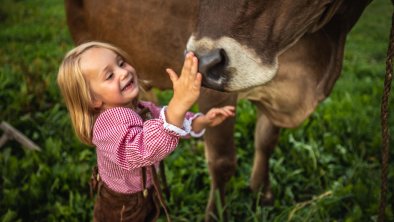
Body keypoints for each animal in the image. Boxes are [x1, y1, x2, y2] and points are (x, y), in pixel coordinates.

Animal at [64, 0, 372, 220]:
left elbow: (266, 141)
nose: (201, 61)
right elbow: (223, 162)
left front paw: (262, 193)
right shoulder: (213, 91)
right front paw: (215, 214)